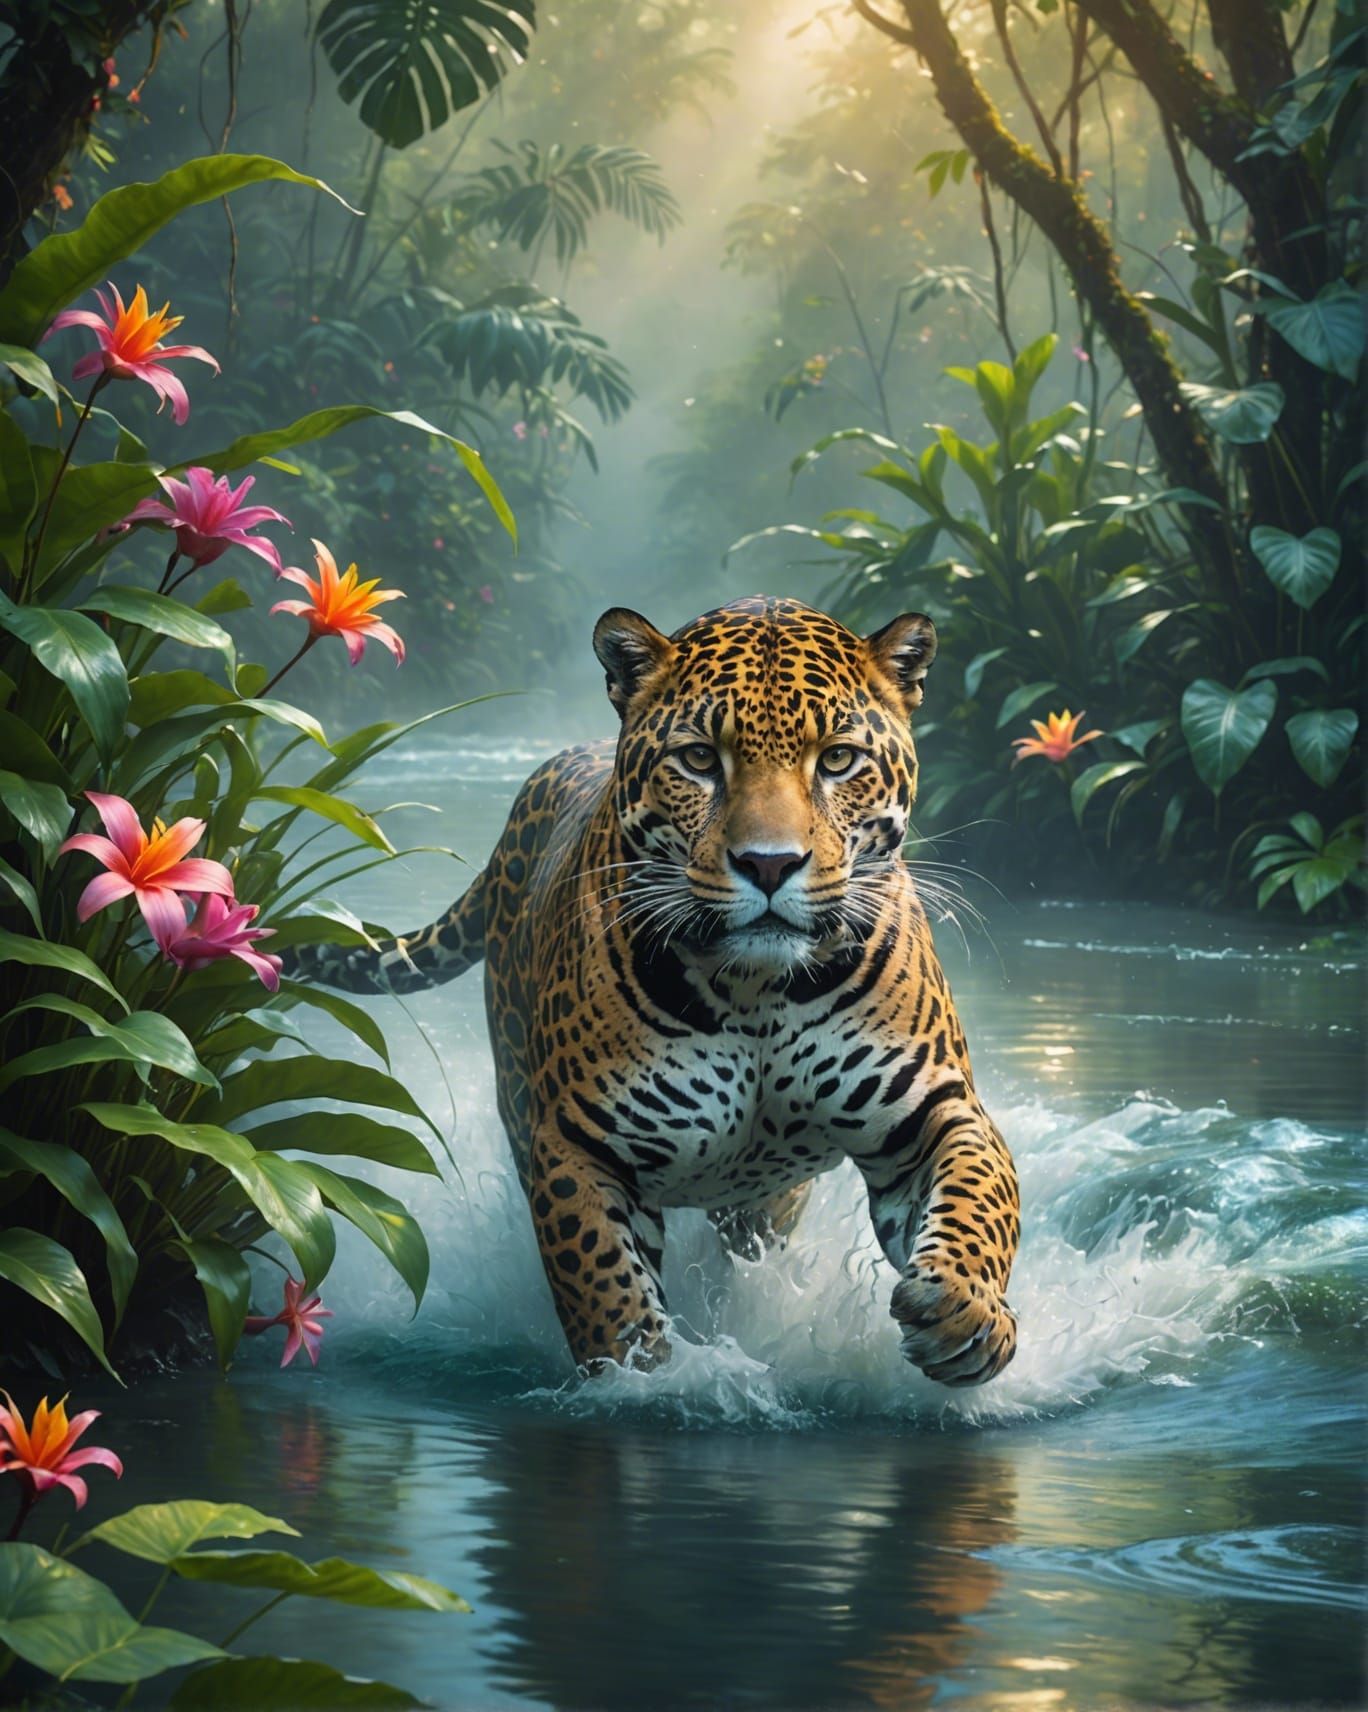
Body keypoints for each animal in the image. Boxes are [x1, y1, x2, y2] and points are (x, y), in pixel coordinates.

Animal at [288, 596, 1021, 1387]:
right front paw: (644, 1378)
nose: (770, 865)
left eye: (837, 759)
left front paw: (966, 1315)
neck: (758, 994)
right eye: (699, 759)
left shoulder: (934, 1111)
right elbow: (605, 1284)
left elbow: (980, 1200)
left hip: (769, 1200)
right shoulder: (575, 1146)